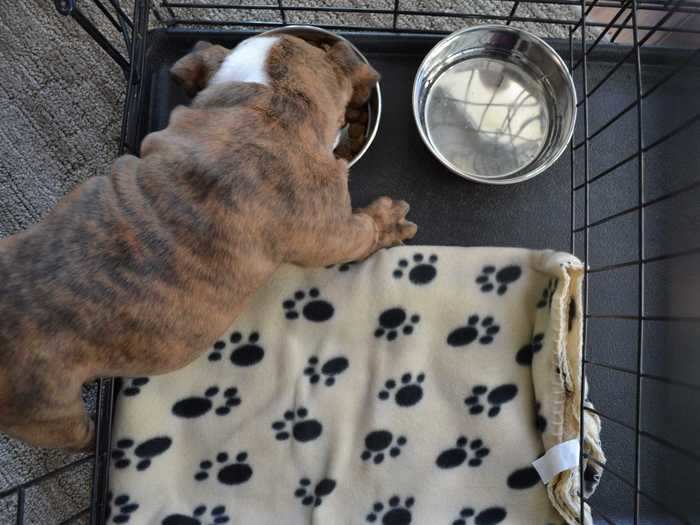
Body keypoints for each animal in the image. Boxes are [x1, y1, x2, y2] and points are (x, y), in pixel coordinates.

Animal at [0, 34, 416, 448]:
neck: (269, 93)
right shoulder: (330, 230)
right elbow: (363, 233)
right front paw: (388, 221)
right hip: (51, 412)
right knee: (75, 431)